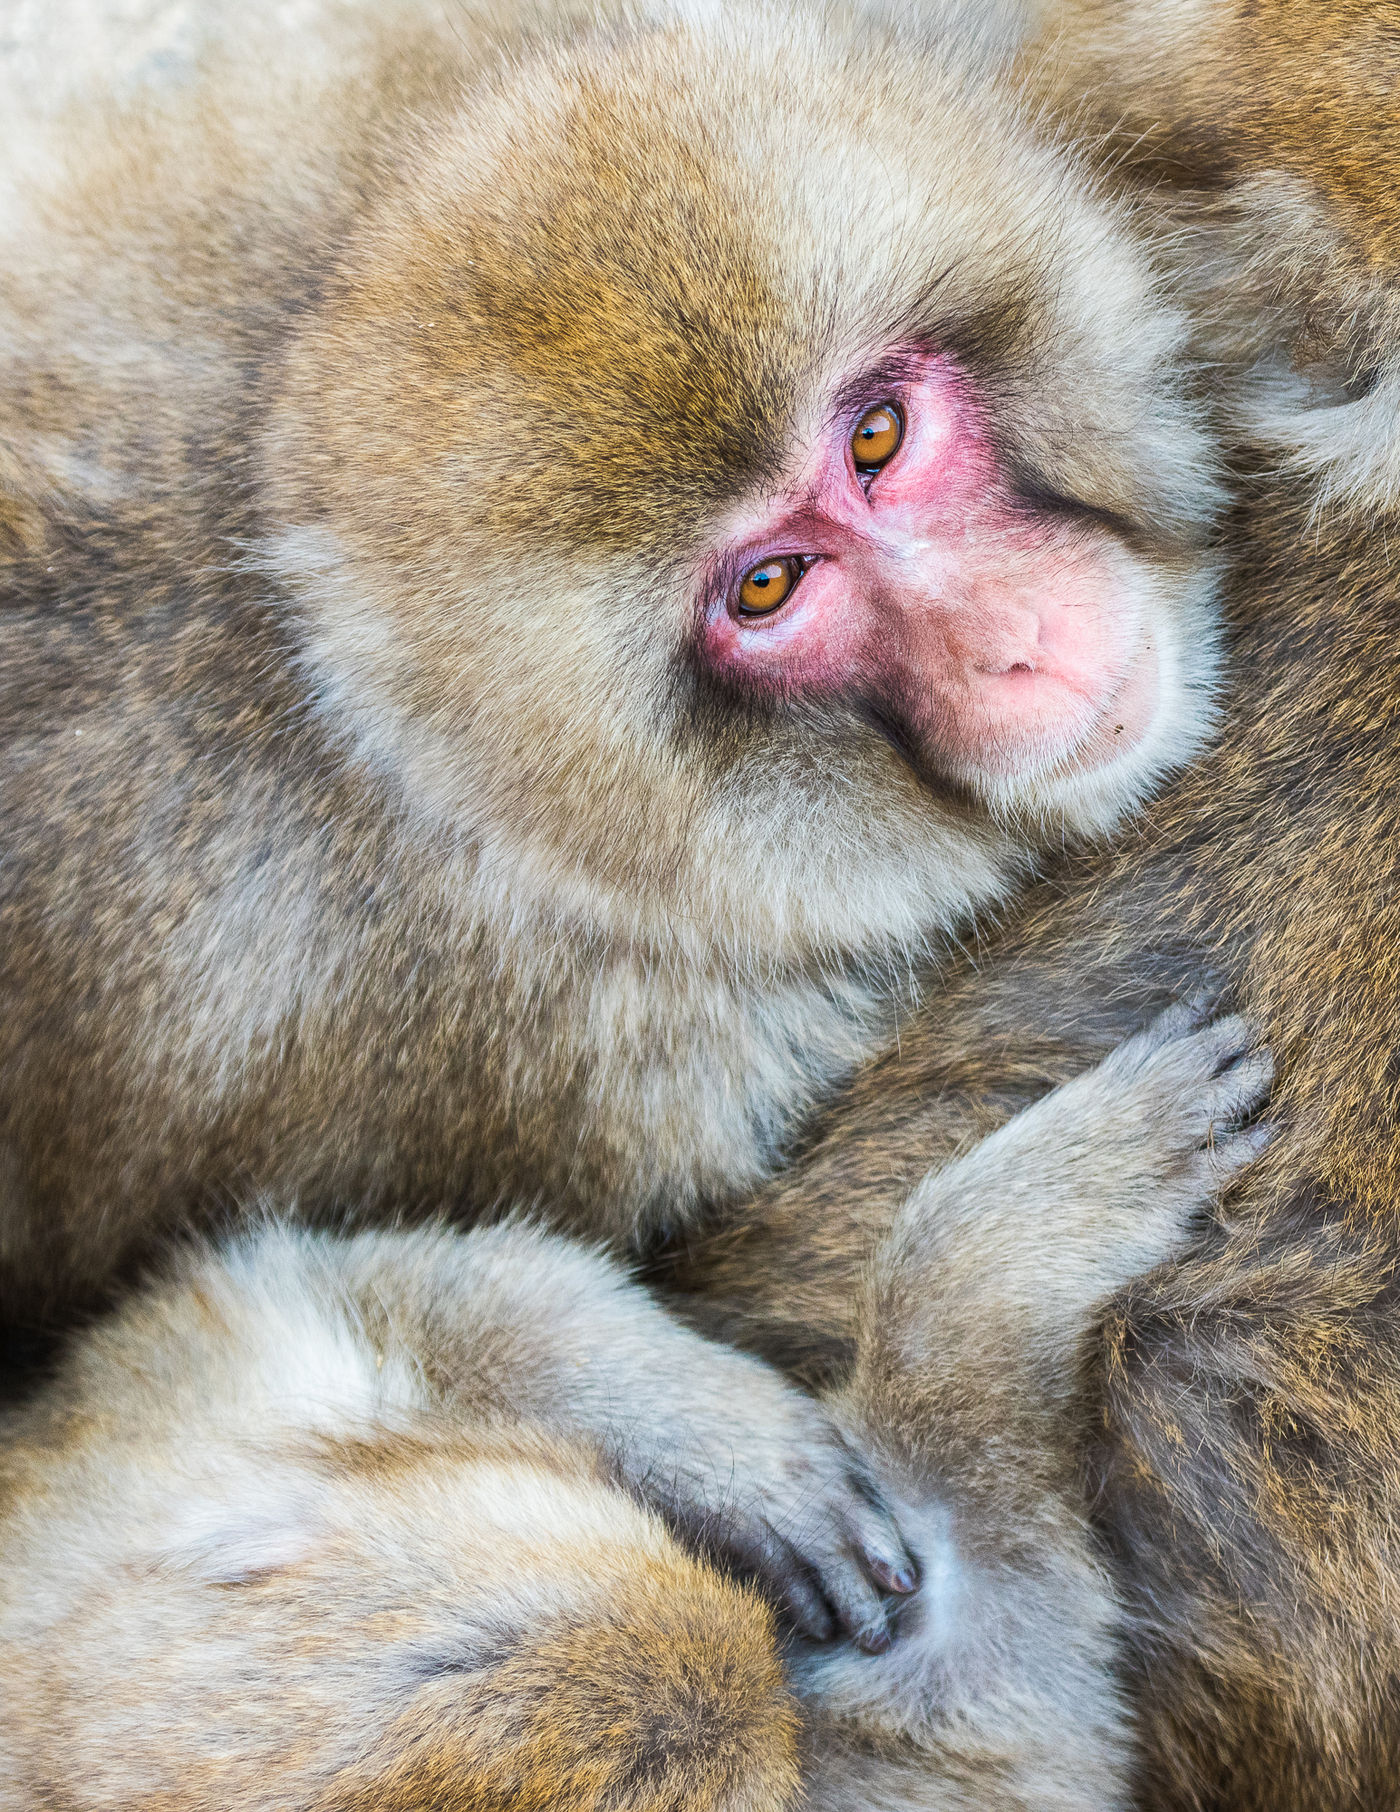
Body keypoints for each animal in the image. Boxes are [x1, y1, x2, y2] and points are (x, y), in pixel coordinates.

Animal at [0, 1000, 1267, 1804]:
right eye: (759, 1733)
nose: (775, 1667)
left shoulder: (204, 1372)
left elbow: (426, 1284)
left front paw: (738, 1466)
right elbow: (1004, 1693)